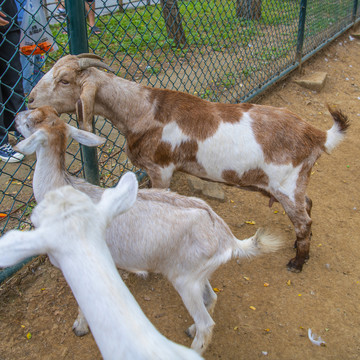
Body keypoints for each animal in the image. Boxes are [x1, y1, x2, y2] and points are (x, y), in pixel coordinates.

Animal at [27, 54, 348, 272]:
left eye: (65, 80)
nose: (29, 100)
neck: (142, 109)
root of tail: (316, 135)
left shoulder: (160, 169)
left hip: (286, 185)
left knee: (304, 221)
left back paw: (297, 261)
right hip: (294, 185)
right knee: (308, 204)